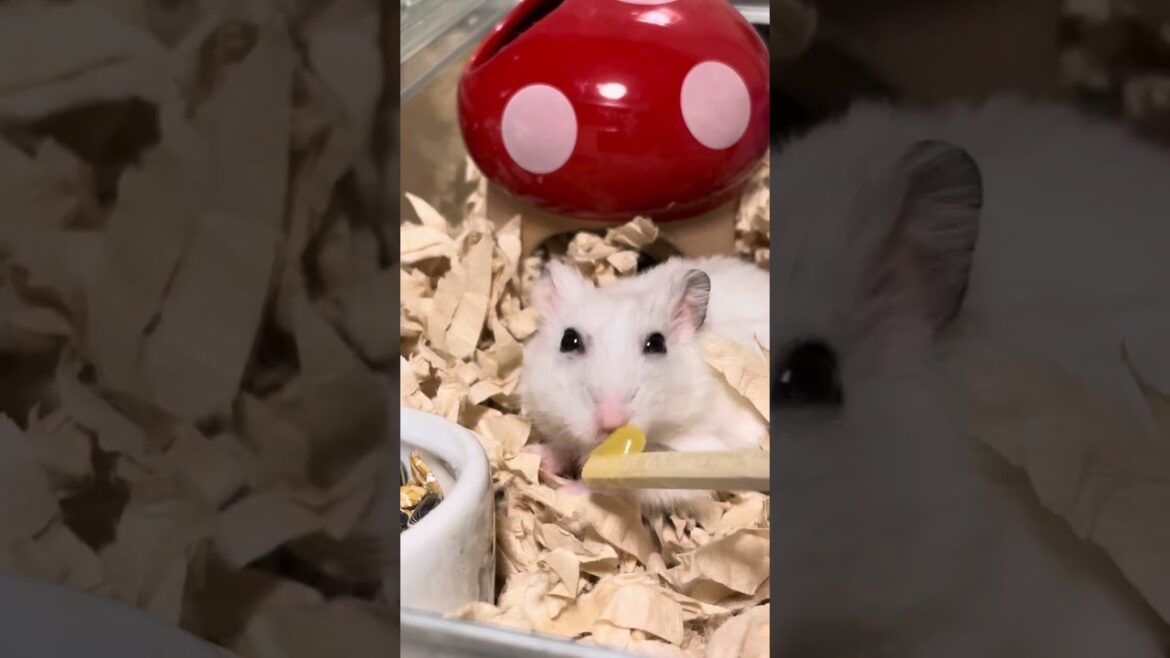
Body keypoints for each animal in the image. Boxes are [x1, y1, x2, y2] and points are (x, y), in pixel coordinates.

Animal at [520, 255, 769, 512]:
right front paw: (529, 454)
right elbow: (562, 447)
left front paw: (567, 491)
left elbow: (611, 484)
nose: (611, 424)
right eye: (568, 340)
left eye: (657, 343)